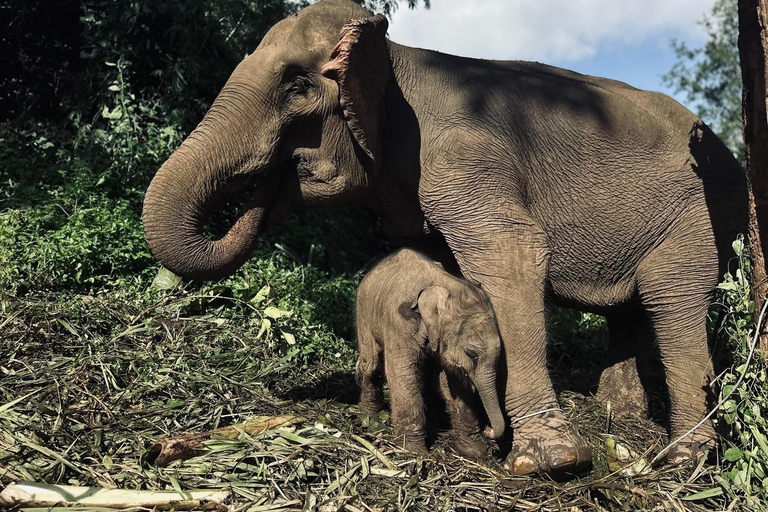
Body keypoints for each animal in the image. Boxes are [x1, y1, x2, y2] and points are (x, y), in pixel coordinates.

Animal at [356, 249, 508, 460]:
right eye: (471, 353)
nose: (489, 430)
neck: (446, 285)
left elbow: (453, 381)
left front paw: (474, 451)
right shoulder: (399, 321)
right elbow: (402, 373)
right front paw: (414, 451)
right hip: (364, 315)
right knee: (371, 364)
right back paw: (369, 416)